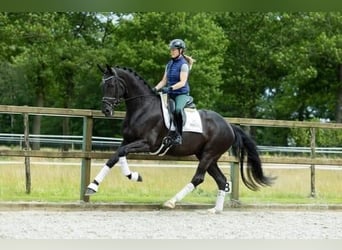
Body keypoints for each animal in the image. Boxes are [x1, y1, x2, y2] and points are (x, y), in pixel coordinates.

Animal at [85, 64, 276, 213]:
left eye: (111, 84)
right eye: (102, 85)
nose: (106, 110)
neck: (142, 107)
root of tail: (229, 126)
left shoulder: (147, 144)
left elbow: (121, 153)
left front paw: (133, 176)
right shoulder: (128, 141)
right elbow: (115, 156)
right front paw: (93, 186)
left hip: (209, 154)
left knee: (198, 178)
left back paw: (171, 202)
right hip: (207, 156)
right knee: (221, 180)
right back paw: (215, 210)